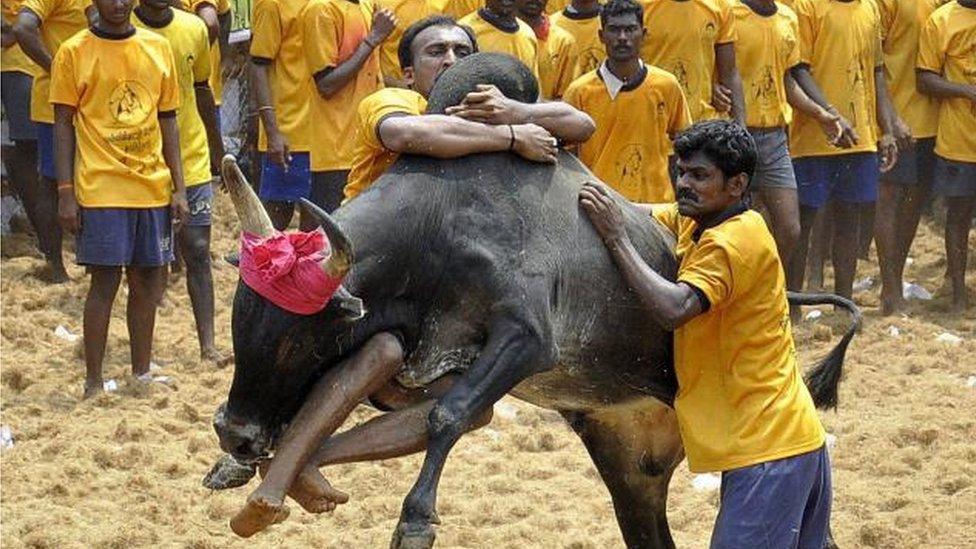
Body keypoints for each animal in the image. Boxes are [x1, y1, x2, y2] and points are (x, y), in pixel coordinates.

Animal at [212, 52, 856, 548]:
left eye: (299, 334)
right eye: (239, 320)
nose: (235, 433)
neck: (441, 225)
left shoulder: (528, 338)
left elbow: (449, 415)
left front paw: (415, 521)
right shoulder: (430, 356)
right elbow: (413, 394)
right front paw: (290, 479)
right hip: (630, 466)